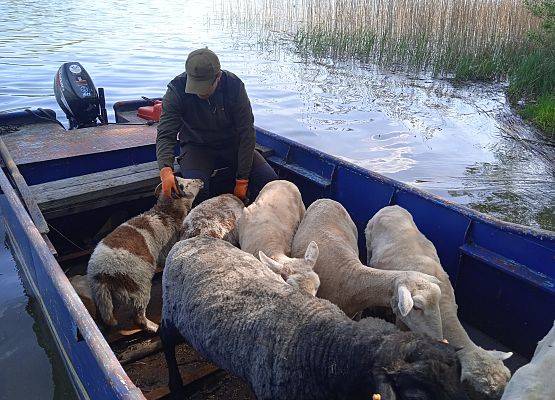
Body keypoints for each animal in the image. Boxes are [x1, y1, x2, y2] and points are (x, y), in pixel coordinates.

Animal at [89, 177, 204, 332]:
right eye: (186, 184)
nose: (200, 180)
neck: (166, 213)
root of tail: (103, 273)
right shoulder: (166, 252)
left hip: (100, 295)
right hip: (139, 286)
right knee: (138, 316)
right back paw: (153, 327)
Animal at [159, 234, 472, 400]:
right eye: (416, 395)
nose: (440, 336)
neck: (326, 346)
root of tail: (196, 238)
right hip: (170, 311)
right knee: (165, 339)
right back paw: (176, 385)